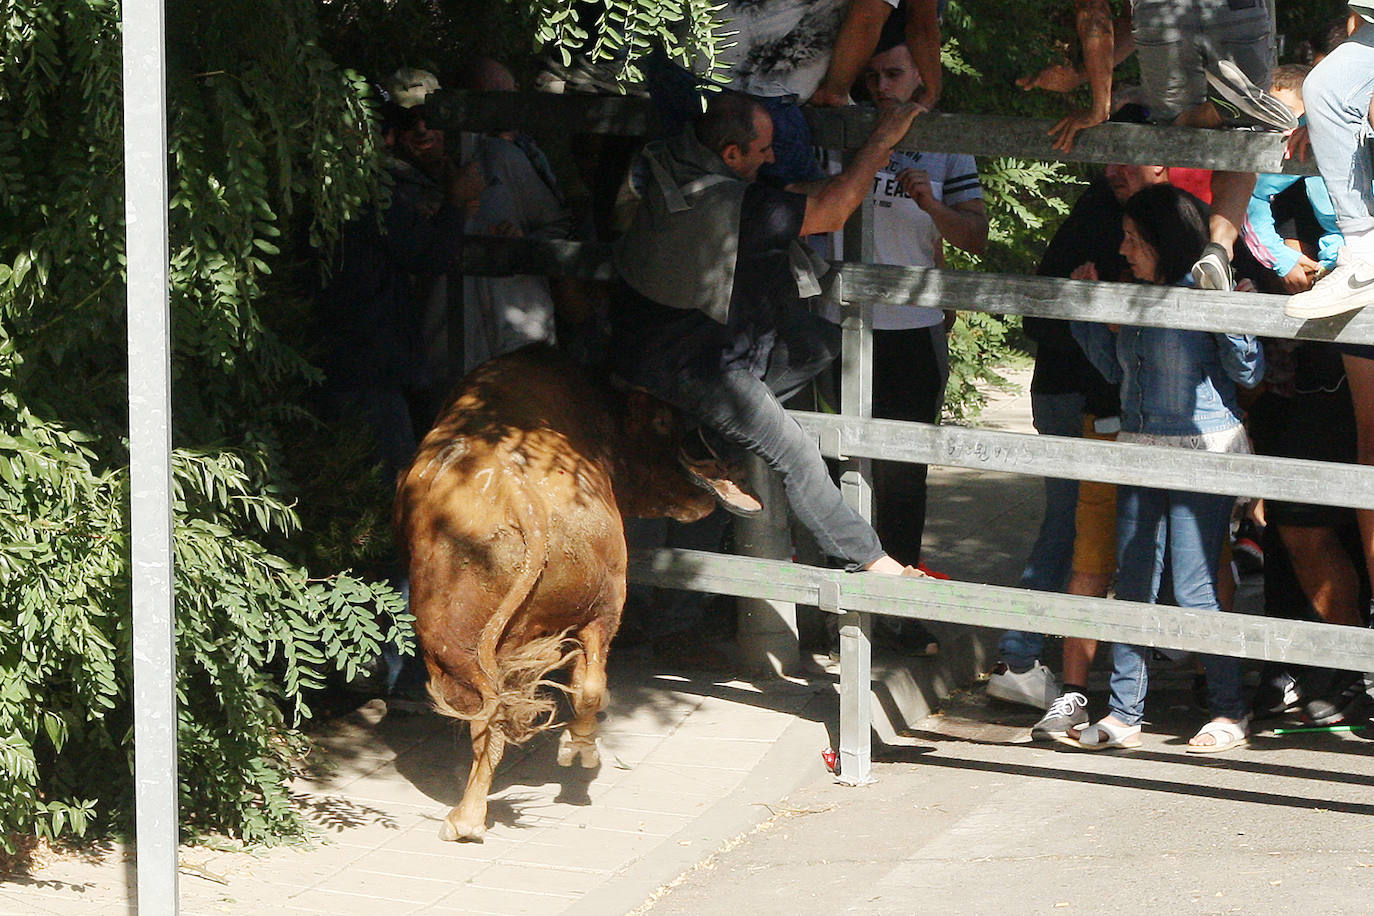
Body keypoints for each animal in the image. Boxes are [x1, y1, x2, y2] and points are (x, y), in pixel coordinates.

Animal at [392, 347, 714, 840]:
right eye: (664, 429)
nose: (705, 497)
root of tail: (524, 500)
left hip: (448, 647)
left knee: (488, 721)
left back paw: (464, 819)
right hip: (604, 599)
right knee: (589, 682)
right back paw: (579, 748)